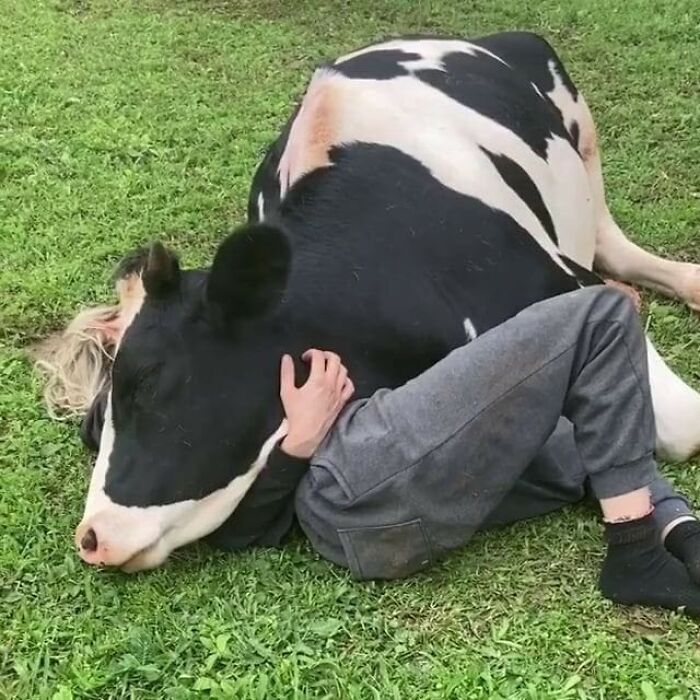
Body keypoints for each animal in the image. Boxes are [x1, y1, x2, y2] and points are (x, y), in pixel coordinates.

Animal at [36, 32, 700, 572]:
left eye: (149, 381)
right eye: (94, 428)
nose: (92, 538)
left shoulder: (565, 281)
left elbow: (681, 427)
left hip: (581, 139)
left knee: (611, 242)